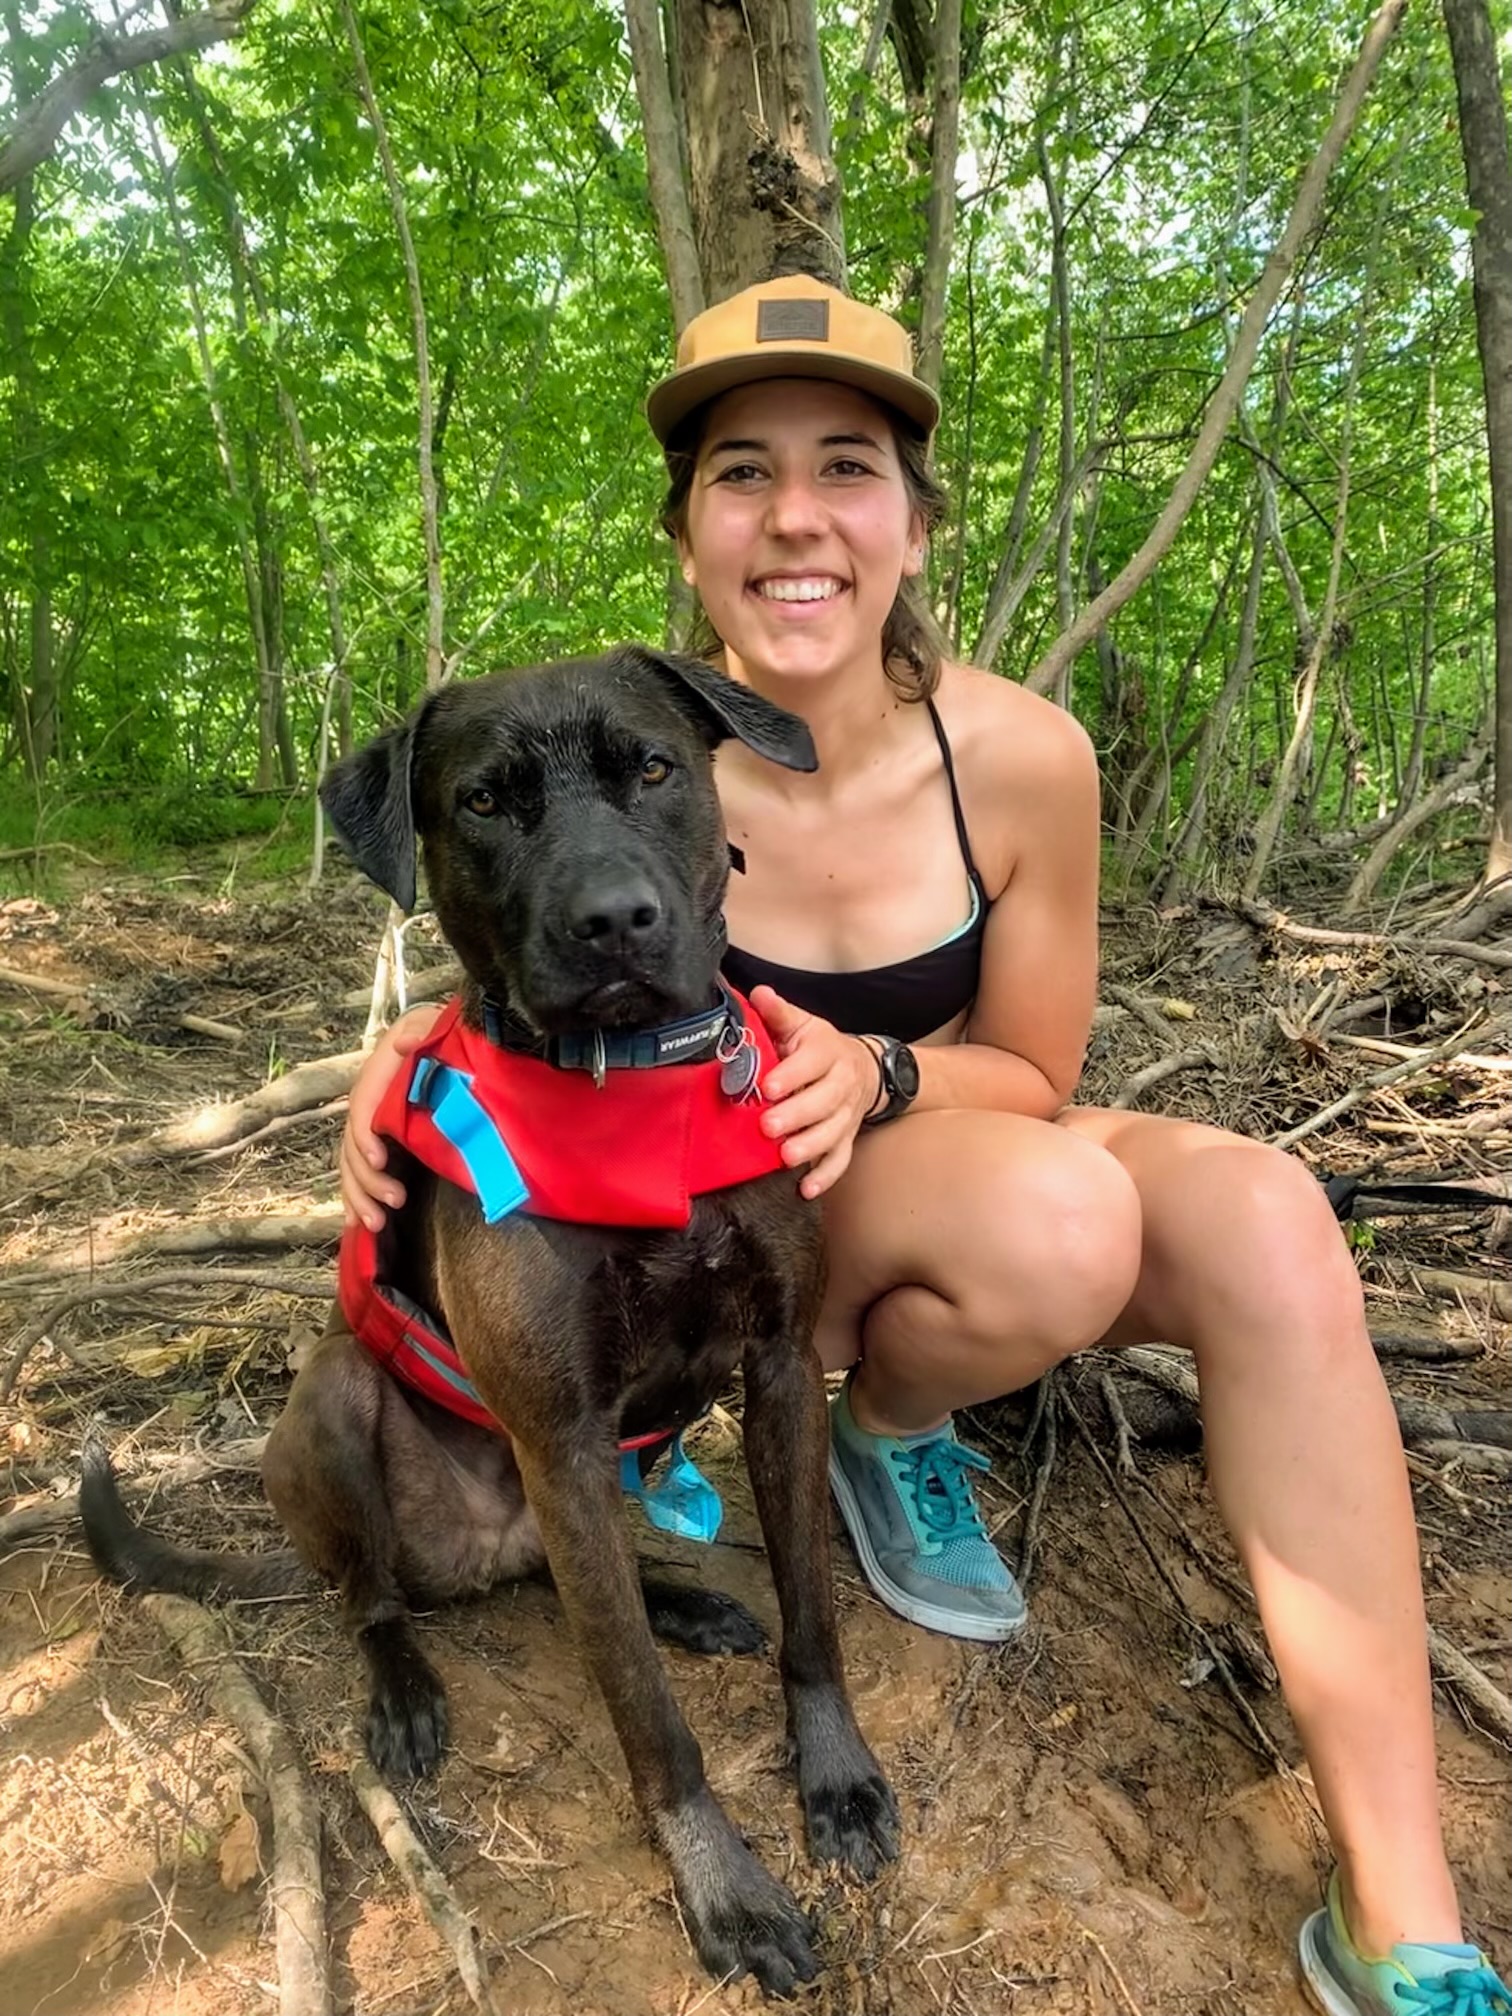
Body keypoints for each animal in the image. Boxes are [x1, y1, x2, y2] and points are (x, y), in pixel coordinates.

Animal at [82, 649, 899, 1999]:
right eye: (483, 804)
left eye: (654, 769)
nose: (615, 920)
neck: (638, 1093)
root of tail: (479, 1552)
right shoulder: (559, 1431)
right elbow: (649, 1719)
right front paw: (725, 1890)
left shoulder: (782, 1371)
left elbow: (813, 1618)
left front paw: (834, 1777)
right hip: (342, 1405)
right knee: (373, 1595)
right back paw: (405, 1686)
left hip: (581, 1494)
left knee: (571, 1584)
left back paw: (678, 1597)